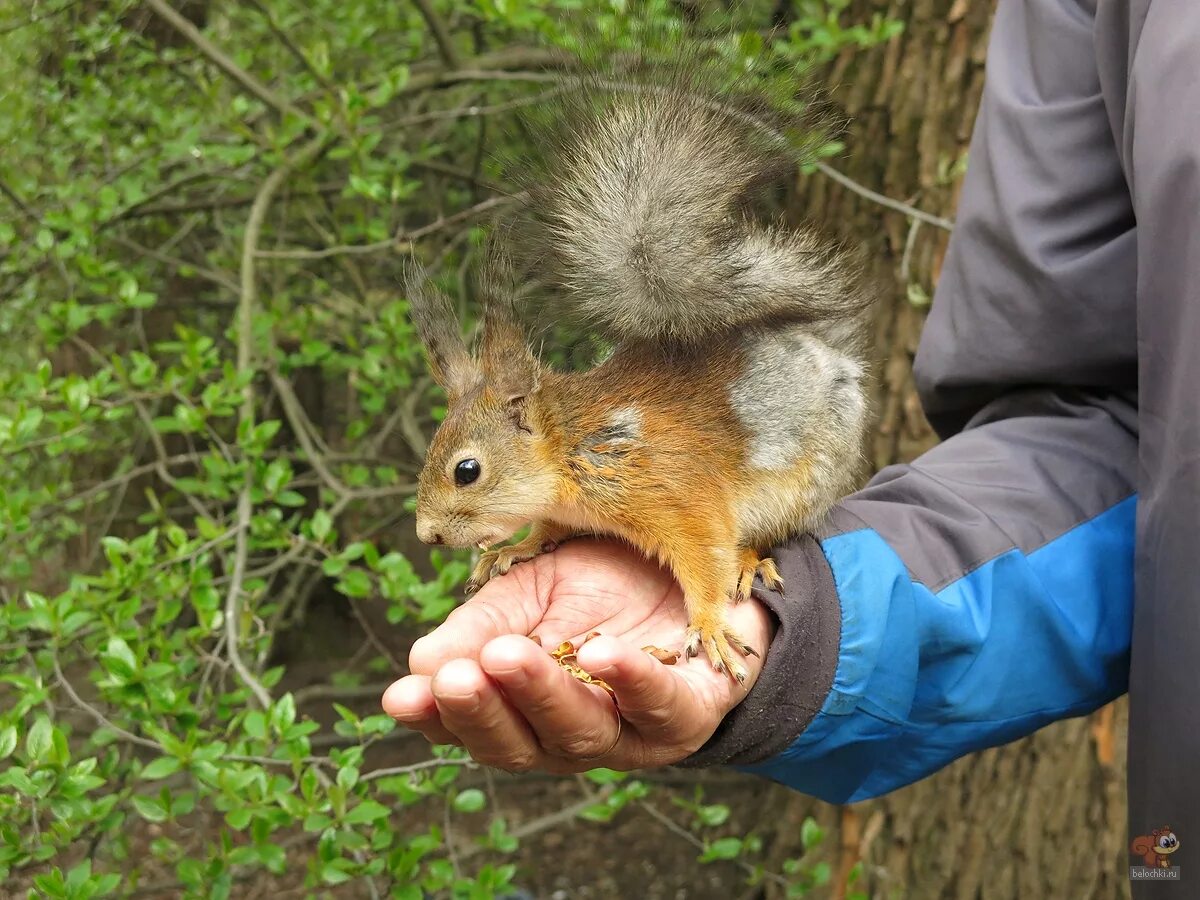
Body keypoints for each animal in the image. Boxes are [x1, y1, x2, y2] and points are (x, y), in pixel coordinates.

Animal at [408, 72, 878, 681]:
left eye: (467, 471)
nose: (428, 535)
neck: (571, 453)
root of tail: (830, 355)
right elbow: (549, 530)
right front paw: (518, 547)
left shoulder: (673, 492)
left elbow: (704, 554)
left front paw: (709, 624)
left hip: (805, 482)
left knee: (769, 532)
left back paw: (749, 560)